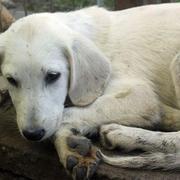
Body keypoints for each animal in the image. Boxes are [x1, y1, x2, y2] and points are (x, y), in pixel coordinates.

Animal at [0, 2, 180, 180]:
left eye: (52, 76)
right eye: (11, 80)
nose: (32, 134)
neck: (95, 40)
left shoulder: (140, 97)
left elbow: (65, 115)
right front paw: (70, 146)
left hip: (176, 62)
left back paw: (124, 134)